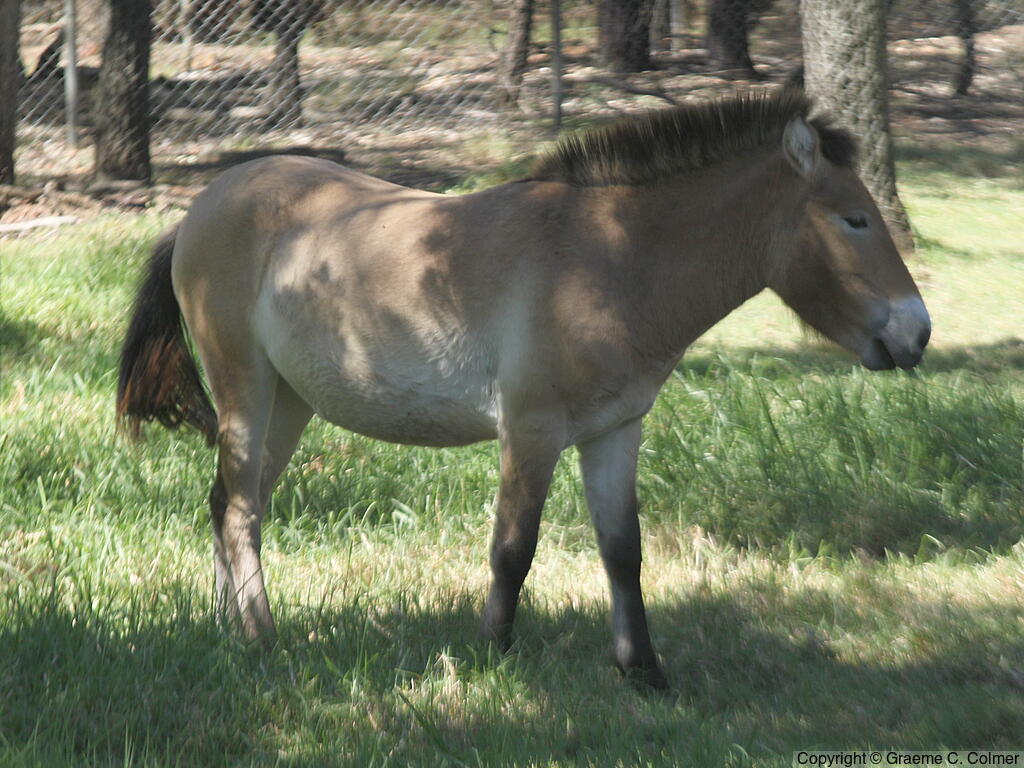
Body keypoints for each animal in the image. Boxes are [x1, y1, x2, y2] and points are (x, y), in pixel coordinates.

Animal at [117, 89, 930, 689]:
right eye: (855, 219)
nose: (916, 333)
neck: (609, 259)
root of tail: (199, 208)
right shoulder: (532, 431)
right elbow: (514, 547)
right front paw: (493, 653)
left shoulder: (614, 432)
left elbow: (622, 551)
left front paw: (643, 671)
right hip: (247, 391)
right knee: (242, 512)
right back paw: (262, 637)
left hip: (290, 403)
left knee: (229, 504)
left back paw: (231, 629)